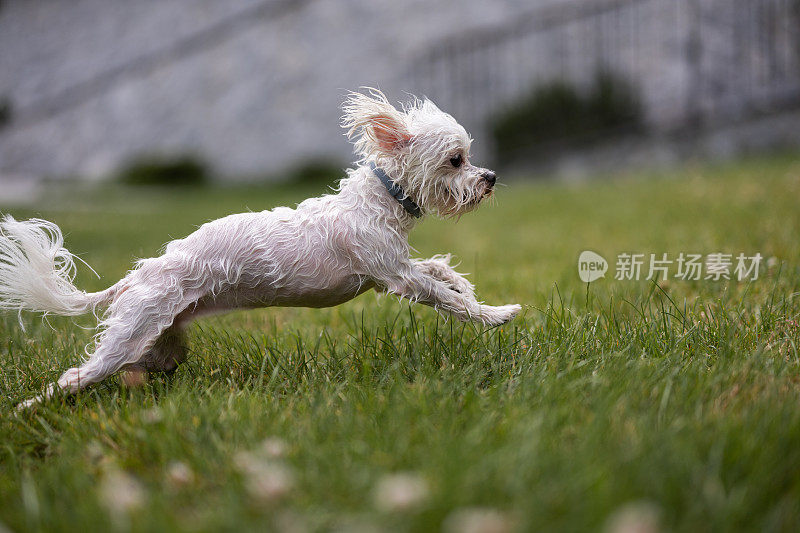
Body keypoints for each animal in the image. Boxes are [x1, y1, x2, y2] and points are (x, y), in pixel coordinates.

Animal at [0, 89, 520, 406]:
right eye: (456, 160)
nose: (491, 178)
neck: (378, 200)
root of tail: (138, 275)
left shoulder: (396, 267)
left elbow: (440, 271)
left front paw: (470, 289)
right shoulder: (394, 276)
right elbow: (445, 298)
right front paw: (495, 314)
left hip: (162, 341)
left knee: (145, 366)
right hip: (134, 329)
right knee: (79, 375)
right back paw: (31, 407)